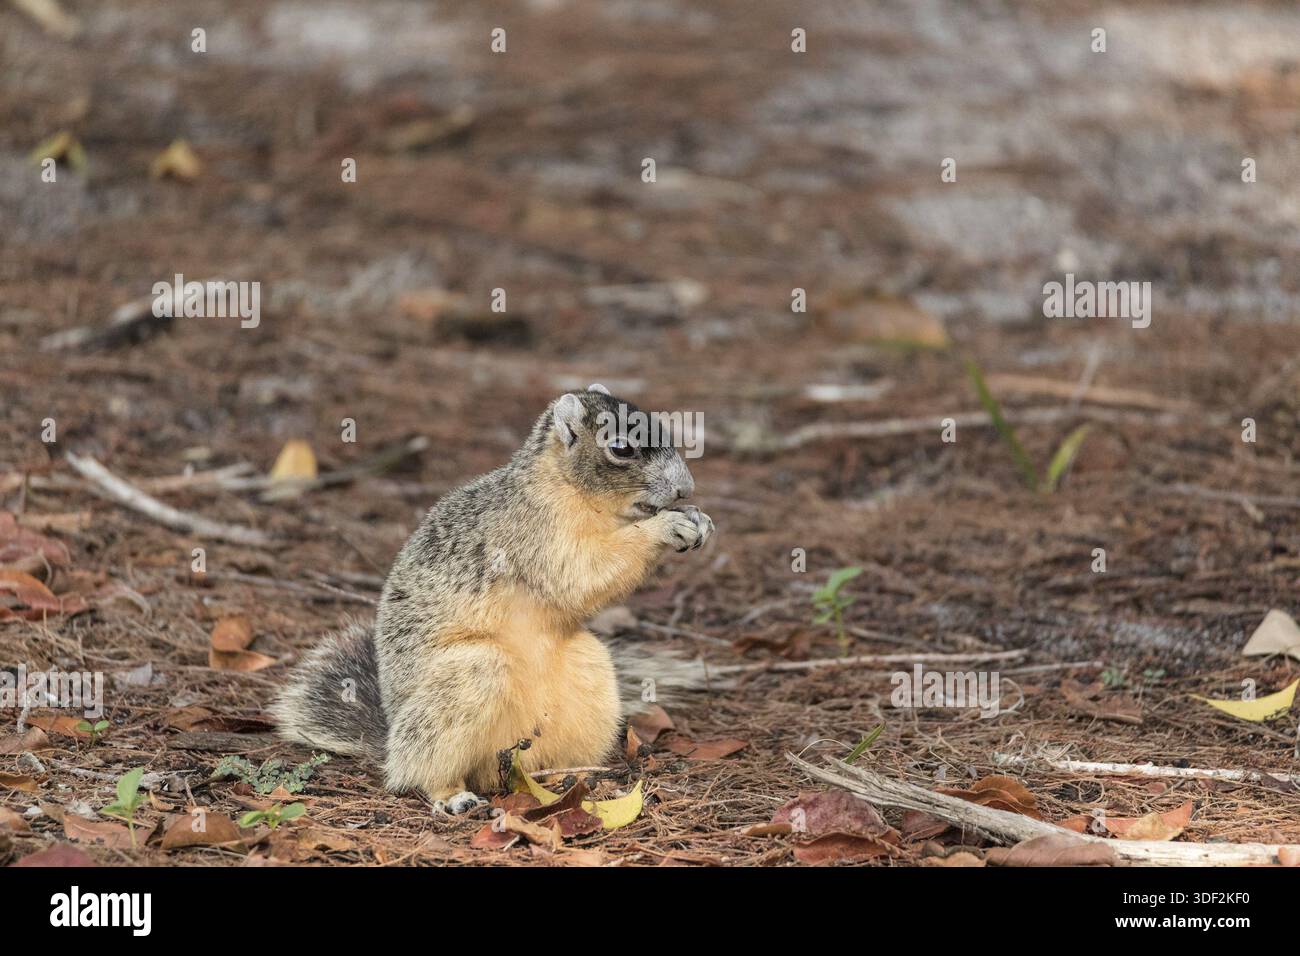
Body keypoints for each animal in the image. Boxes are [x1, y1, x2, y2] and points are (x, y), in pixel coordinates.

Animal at [272, 385, 715, 813]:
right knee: (418, 768)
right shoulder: (532, 531)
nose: (686, 488)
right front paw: (667, 526)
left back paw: (569, 777)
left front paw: (699, 518)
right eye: (621, 448)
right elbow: (579, 574)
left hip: (590, 674)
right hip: (467, 679)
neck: (568, 488)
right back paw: (451, 794)